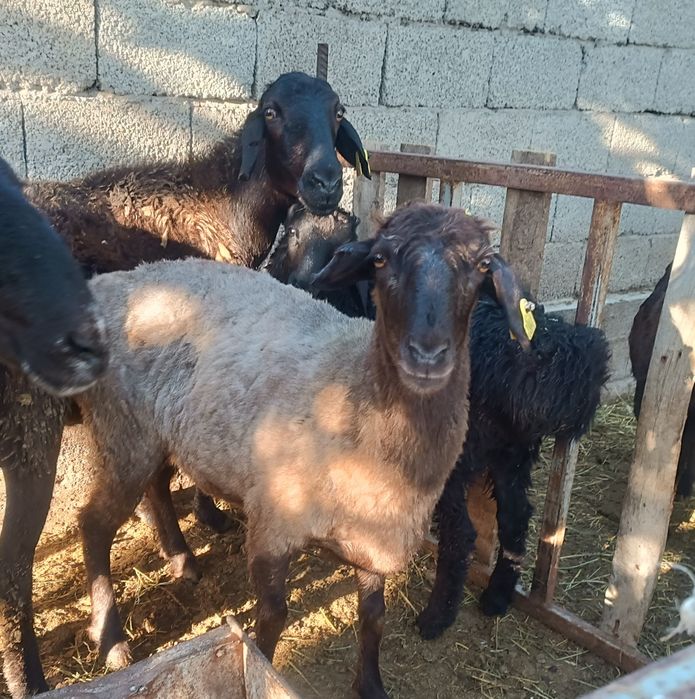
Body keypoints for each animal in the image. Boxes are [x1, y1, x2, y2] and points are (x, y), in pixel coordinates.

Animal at [0, 70, 369, 698]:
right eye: (272, 112)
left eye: (338, 110)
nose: (326, 182)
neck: (215, 207)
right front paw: (196, 529)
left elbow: (160, 474)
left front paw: (182, 541)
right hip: (28, 423)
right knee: (14, 566)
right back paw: (54, 667)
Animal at [71, 203, 530, 698]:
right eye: (381, 259)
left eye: (482, 266)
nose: (427, 355)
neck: (354, 394)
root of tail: (112, 283)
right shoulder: (273, 526)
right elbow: (272, 620)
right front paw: (261, 671)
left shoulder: (374, 537)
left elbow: (374, 618)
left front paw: (370, 684)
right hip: (121, 429)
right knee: (94, 524)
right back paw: (112, 641)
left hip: (152, 433)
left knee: (155, 488)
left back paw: (182, 561)